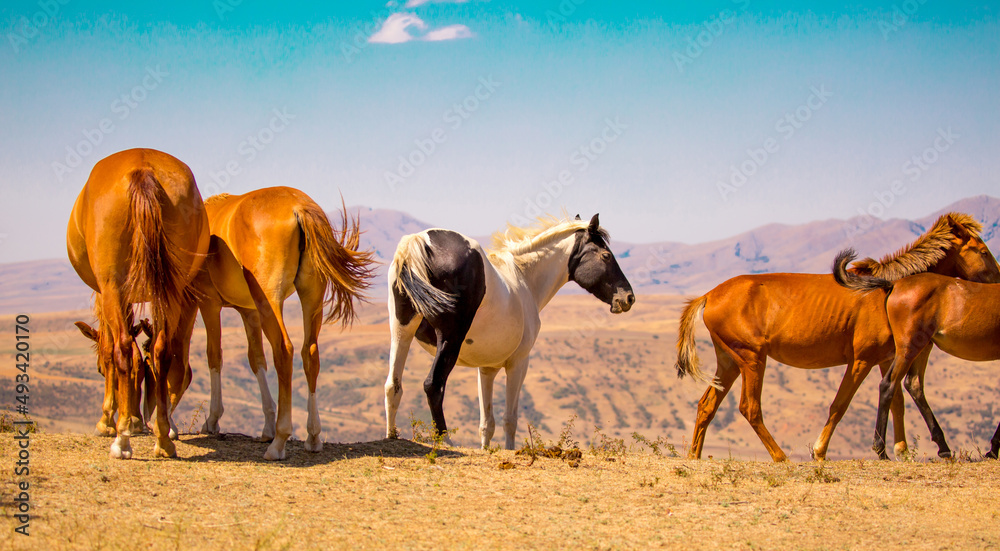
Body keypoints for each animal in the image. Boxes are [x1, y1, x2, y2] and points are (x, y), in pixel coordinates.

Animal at [67, 148, 210, 459]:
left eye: (97, 370)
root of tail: (142, 169)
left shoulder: (106, 294)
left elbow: (112, 351)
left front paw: (109, 421)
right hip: (170, 289)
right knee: (162, 351)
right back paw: (163, 439)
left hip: (113, 287)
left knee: (121, 347)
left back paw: (121, 442)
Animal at [195, 188, 375, 460]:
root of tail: (299, 207)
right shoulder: (249, 312)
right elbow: (256, 360)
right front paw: (267, 425)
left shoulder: (209, 304)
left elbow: (214, 355)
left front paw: (213, 420)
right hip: (311, 296)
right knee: (310, 353)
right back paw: (313, 436)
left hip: (270, 300)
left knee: (284, 350)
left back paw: (279, 441)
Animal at [384, 214, 635, 450]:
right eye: (606, 256)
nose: (628, 297)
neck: (524, 279)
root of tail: (418, 241)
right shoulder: (518, 363)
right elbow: (510, 420)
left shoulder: (486, 369)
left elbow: (487, 424)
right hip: (449, 340)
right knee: (433, 385)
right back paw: (445, 442)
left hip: (401, 331)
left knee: (393, 386)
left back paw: (392, 436)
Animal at [835, 260, 1000, 460]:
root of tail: (894, 285)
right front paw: (993, 450)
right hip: (909, 347)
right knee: (888, 384)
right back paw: (881, 450)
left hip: (923, 347)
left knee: (913, 384)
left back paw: (943, 447)